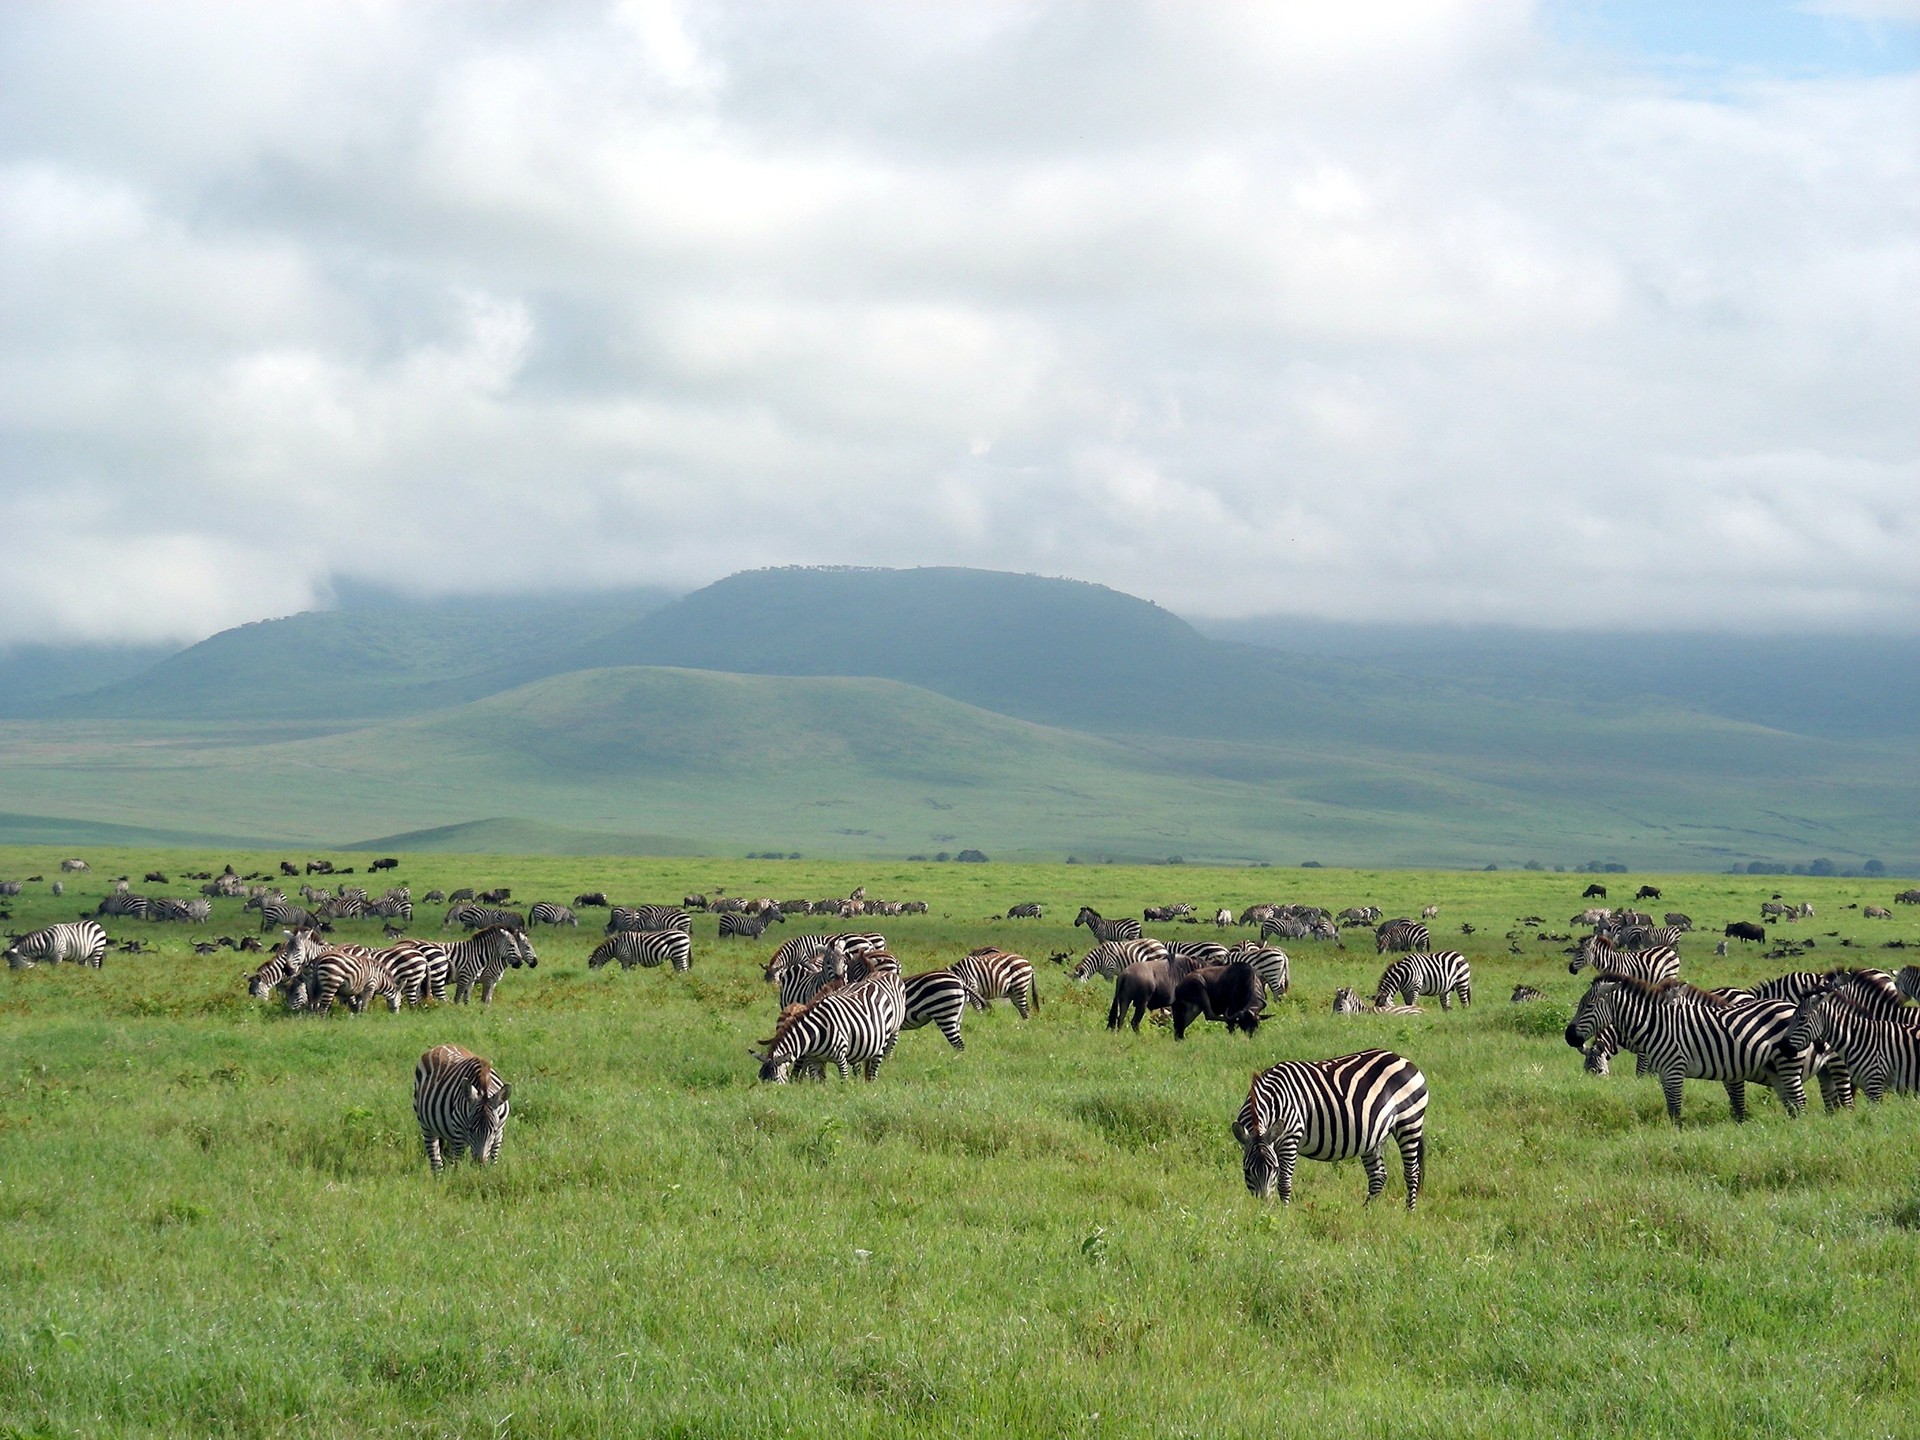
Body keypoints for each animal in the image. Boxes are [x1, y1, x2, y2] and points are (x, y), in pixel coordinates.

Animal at [414, 1044, 514, 1175]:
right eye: (470, 1129)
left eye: (493, 1130)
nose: (480, 1165)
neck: (484, 1088)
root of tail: (442, 1046)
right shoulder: (459, 1132)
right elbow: (458, 1162)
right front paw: (458, 1177)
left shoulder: (499, 1132)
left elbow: (493, 1159)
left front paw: (490, 1174)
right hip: (426, 1125)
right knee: (436, 1159)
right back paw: (439, 1177)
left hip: (449, 1133)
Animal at [748, 971, 906, 1082]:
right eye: (761, 1079)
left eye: (775, 1079)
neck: (814, 1033)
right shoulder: (814, 1059)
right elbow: (818, 1081)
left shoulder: (841, 1058)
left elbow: (843, 1080)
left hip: (884, 1038)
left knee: (874, 1068)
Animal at [1228, 1052, 1428, 1213]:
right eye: (1247, 1171)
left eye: (1275, 1169)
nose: (1264, 1208)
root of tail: (1402, 1059)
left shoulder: (1290, 1137)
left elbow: (1284, 1182)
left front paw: (1284, 1214)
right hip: (1376, 1136)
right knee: (1378, 1175)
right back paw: (1366, 1212)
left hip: (1410, 1122)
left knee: (1412, 1172)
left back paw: (1409, 1213)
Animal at [1559, 983, 1812, 1128]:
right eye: (1587, 1072)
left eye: (1587, 1006)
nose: (1569, 1037)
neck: (1650, 1024)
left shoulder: (1668, 1064)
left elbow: (1670, 1102)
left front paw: (1676, 1132)